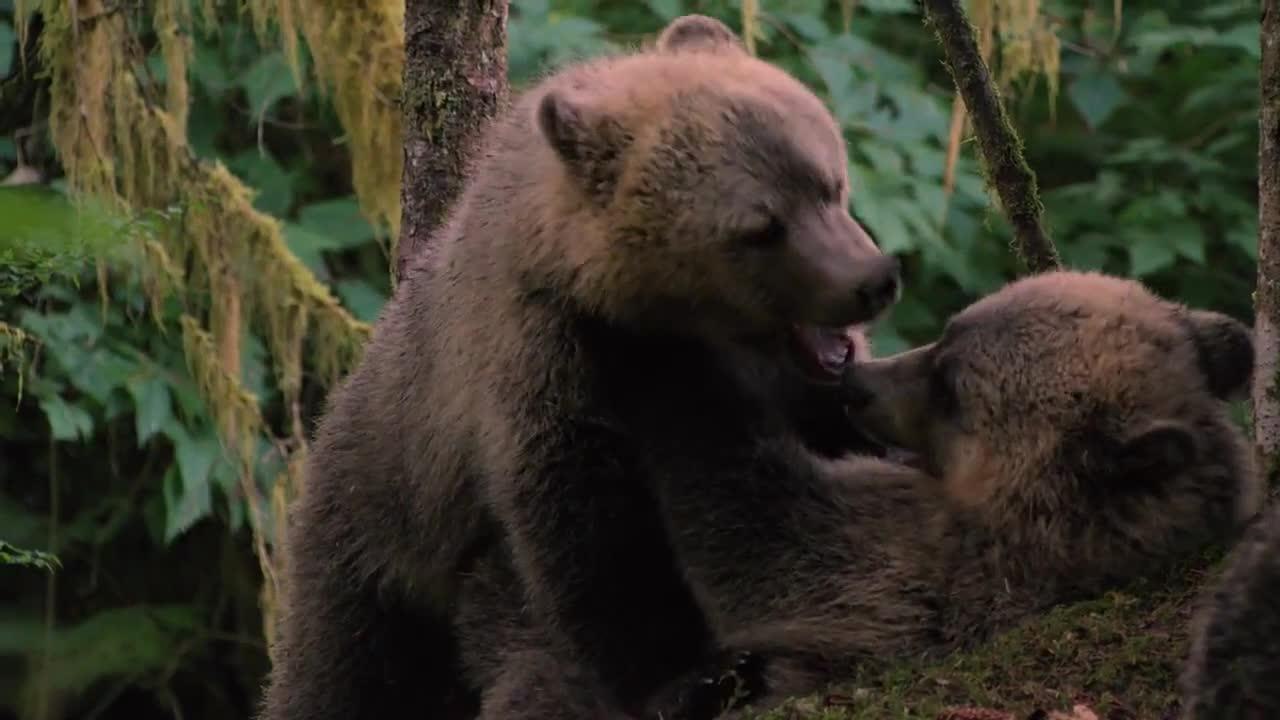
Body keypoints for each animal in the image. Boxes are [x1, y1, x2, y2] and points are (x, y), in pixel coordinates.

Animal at [256, 13, 901, 720]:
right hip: (375, 537)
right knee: (346, 668)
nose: (873, 280)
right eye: (761, 227)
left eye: (829, 183)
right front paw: (691, 674)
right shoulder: (549, 361)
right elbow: (592, 536)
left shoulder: (787, 382)